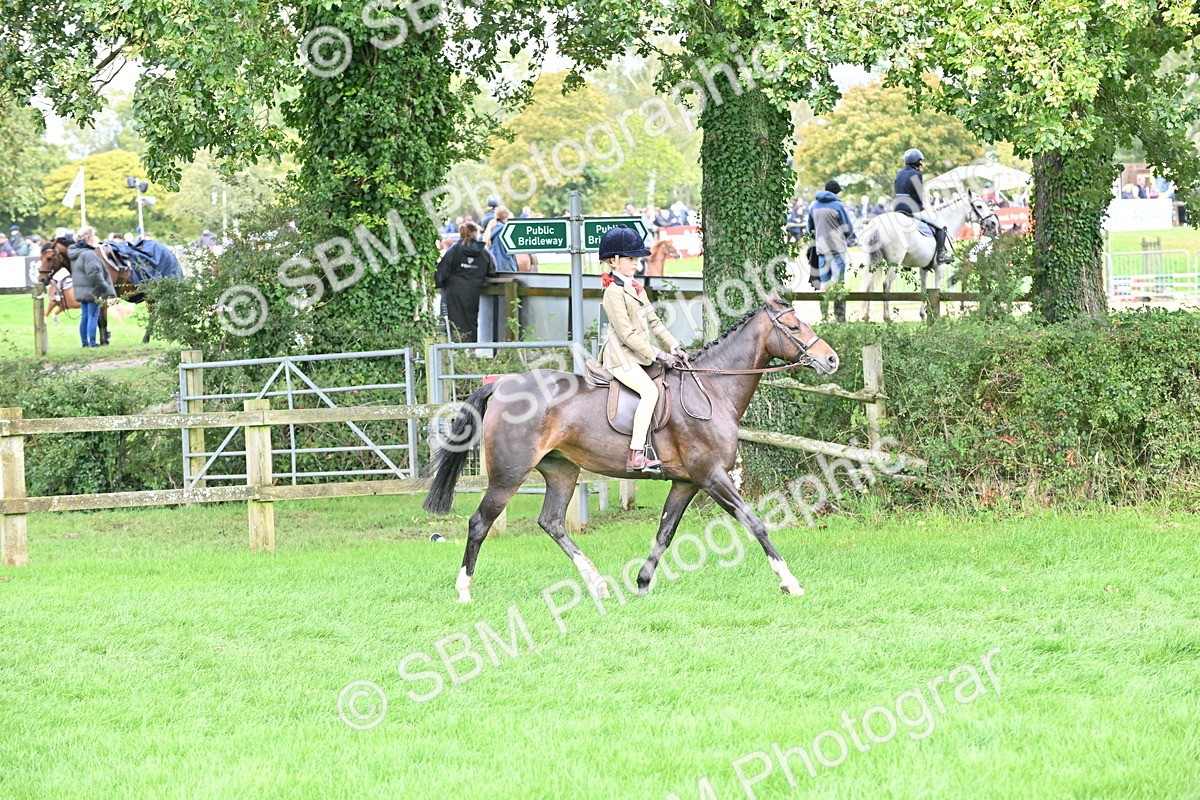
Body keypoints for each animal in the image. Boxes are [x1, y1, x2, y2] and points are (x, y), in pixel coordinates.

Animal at [423, 293, 840, 603]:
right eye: (793, 326)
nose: (831, 359)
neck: (711, 389)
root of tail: (503, 384)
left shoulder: (686, 482)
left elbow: (665, 532)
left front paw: (641, 582)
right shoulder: (711, 476)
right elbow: (754, 522)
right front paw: (789, 581)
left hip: (561, 471)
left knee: (552, 522)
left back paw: (597, 584)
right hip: (509, 475)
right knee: (480, 523)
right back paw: (464, 591)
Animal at [859, 191, 1000, 320]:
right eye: (979, 206)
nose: (993, 223)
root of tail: (878, 224)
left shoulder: (924, 268)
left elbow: (923, 290)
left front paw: (923, 316)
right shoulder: (940, 268)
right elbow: (937, 290)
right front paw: (936, 316)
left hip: (873, 262)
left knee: (869, 286)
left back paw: (866, 317)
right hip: (894, 263)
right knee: (886, 284)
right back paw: (887, 318)